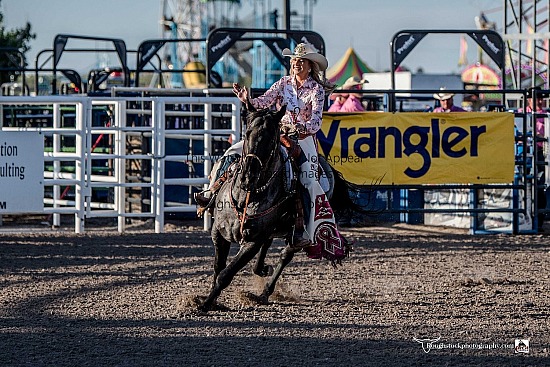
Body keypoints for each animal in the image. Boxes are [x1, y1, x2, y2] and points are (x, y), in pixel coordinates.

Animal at [198, 105, 362, 312]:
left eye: (270, 139)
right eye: (248, 132)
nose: (247, 176)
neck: (246, 198)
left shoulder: (253, 242)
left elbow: (225, 274)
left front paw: (206, 304)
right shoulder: (218, 234)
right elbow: (218, 268)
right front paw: (209, 300)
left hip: (296, 234)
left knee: (285, 255)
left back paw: (264, 292)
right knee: (268, 248)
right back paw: (262, 270)